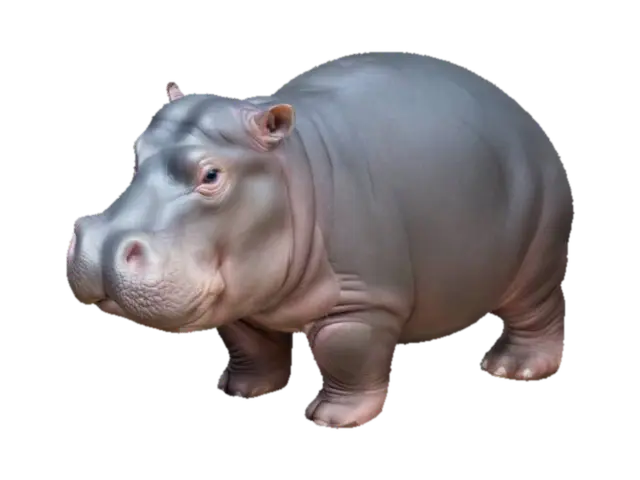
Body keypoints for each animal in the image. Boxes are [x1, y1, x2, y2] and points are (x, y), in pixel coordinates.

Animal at [64, 51, 573, 429]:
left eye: (211, 175)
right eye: (134, 150)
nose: (101, 247)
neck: (290, 167)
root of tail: (515, 107)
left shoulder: (362, 301)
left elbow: (344, 352)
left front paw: (332, 419)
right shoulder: (242, 294)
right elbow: (248, 343)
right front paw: (244, 391)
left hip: (538, 258)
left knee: (537, 311)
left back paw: (513, 369)